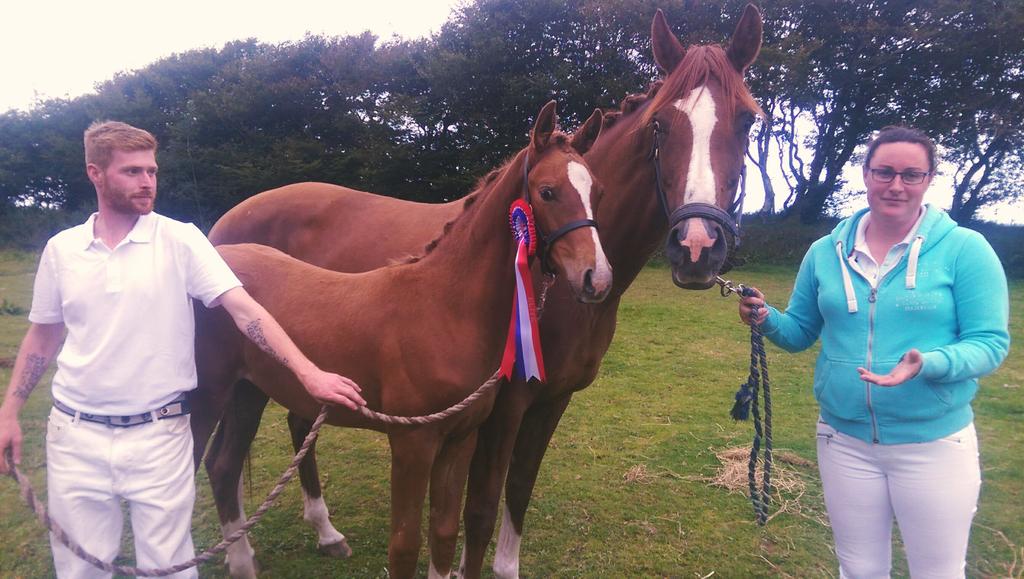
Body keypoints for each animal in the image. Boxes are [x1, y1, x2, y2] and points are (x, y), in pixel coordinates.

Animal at [192, 100, 611, 579]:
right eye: (547, 192)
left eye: (598, 192)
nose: (597, 279)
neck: (445, 308)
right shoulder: (413, 442)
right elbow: (405, 544)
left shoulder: (461, 438)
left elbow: (444, 534)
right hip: (205, 397)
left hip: (248, 391)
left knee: (223, 466)